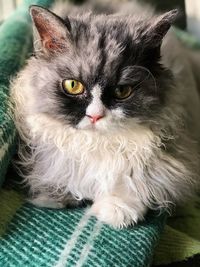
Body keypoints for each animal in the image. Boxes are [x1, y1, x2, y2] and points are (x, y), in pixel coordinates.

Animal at [10, 0, 200, 229]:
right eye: (73, 85)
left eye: (122, 91)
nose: (95, 116)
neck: (95, 144)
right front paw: (55, 197)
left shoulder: (169, 158)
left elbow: (134, 181)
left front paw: (118, 212)